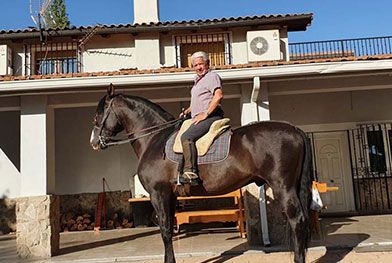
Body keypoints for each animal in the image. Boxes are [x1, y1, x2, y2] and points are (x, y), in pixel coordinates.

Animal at [89, 85, 312, 263]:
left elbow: (165, 230)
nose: (94, 142)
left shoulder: (158, 194)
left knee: (297, 220)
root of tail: (294, 129)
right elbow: (169, 229)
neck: (155, 139)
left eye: (98, 115)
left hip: (283, 187)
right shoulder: (170, 195)